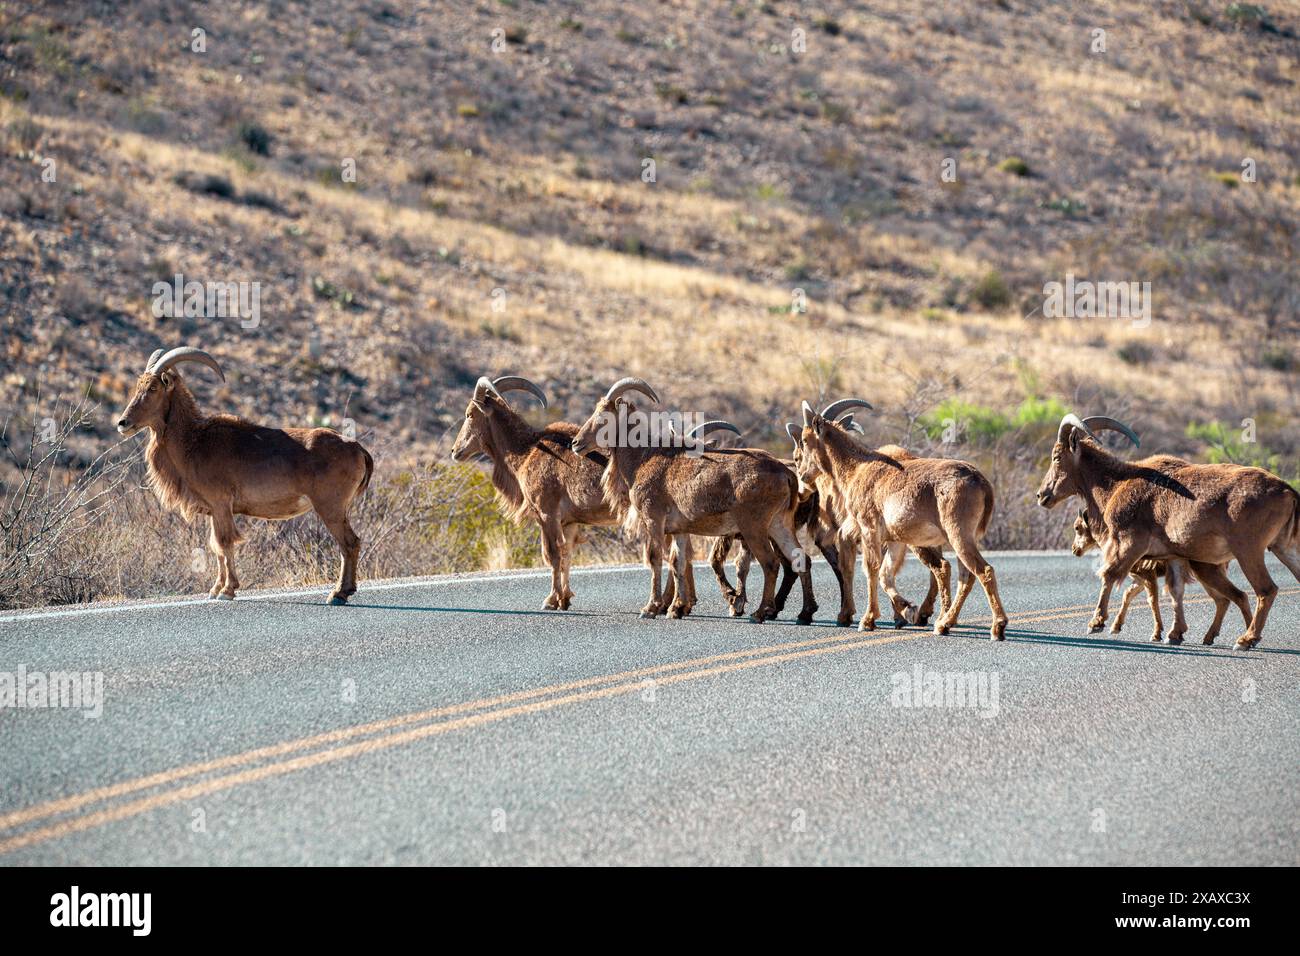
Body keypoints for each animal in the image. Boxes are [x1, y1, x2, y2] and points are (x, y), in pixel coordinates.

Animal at [115, 346, 373, 604]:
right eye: (138, 386)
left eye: (153, 388)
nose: (123, 423)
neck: (194, 442)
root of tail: (358, 449)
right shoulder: (214, 510)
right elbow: (216, 546)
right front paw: (215, 589)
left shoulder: (221, 504)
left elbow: (225, 543)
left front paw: (227, 590)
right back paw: (345, 590)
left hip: (330, 507)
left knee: (349, 543)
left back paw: (338, 593)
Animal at [570, 378, 811, 623]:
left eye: (603, 417)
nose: (576, 443)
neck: (643, 459)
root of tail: (786, 473)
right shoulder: (678, 530)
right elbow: (679, 562)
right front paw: (676, 609)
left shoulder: (653, 519)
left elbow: (655, 558)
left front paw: (650, 608)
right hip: (780, 523)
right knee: (801, 558)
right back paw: (805, 613)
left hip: (754, 526)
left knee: (770, 563)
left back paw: (760, 612)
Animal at [795, 399, 1007, 639]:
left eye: (805, 440)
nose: (802, 473)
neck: (857, 468)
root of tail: (982, 483)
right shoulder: (895, 539)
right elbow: (885, 574)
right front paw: (907, 610)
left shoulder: (869, 528)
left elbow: (871, 568)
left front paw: (868, 620)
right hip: (965, 538)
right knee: (966, 576)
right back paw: (944, 624)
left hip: (958, 534)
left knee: (983, 571)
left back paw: (997, 627)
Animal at [1037, 414, 1297, 648]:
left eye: (1056, 457)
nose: (1041, 495)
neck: (1116, 484)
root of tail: (1287, 490)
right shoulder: (1173, 556)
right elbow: (1174, 591)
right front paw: (1174, 634)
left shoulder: (1130, 543)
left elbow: (1109, 575)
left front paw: (1096, 623)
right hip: (1284, 548)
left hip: (1248, 550)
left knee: (1265, 590)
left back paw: (1246, 639)